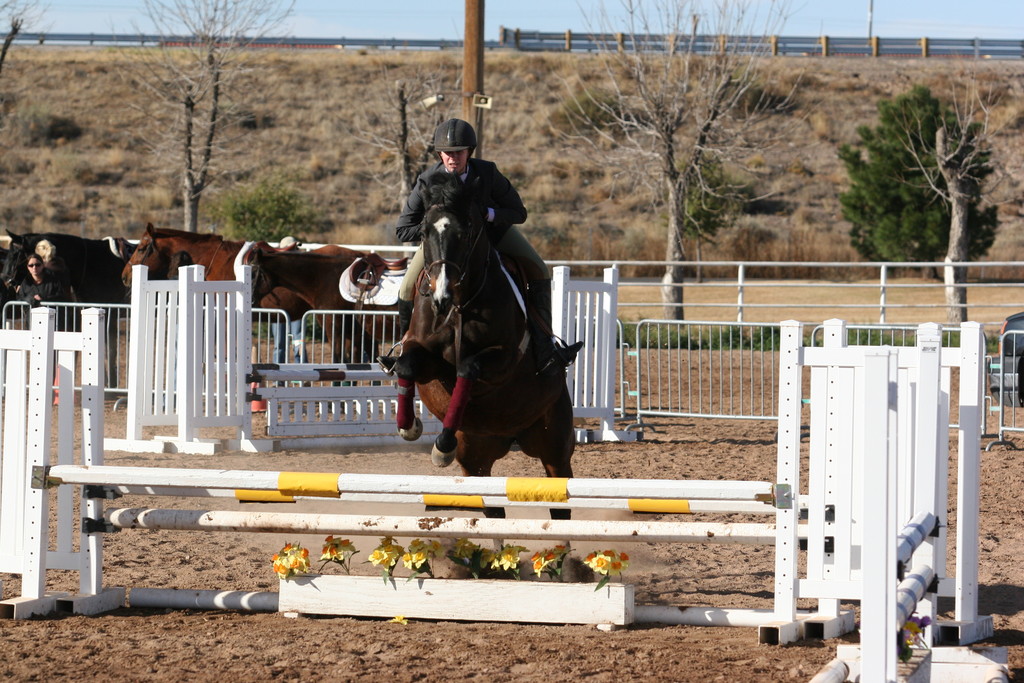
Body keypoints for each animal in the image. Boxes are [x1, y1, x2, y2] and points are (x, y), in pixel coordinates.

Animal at [378, 171, 577, 518]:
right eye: (424, 231)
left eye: (467, 230)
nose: (441, 298)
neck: (461, 303)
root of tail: (510, 438)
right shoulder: (426, 357)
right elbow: (406, 365)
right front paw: (410, 427)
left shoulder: (505, 360)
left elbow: (468, 368)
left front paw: (441, 444)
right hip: (476, 461)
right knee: (491, 507)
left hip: (554, 447)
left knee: (559, 496)